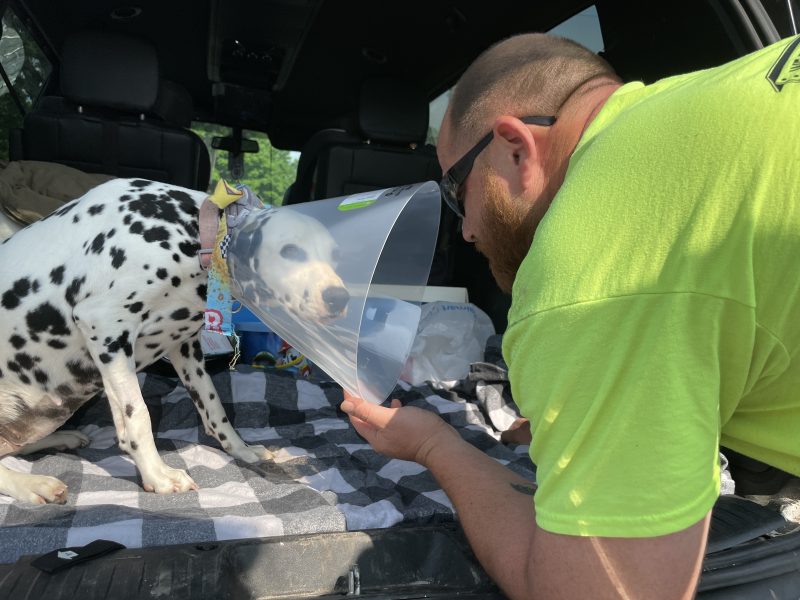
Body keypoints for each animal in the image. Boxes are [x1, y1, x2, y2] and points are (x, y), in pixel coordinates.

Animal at [0, 177, 350, 502]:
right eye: (290, 251)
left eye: (336, 257)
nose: (339, 298)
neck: (186, 233)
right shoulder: (105, 326)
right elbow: (138, 416)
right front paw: (157, 475)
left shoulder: (185, 347)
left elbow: (214, 408)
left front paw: (242, 450)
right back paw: (34, 484)